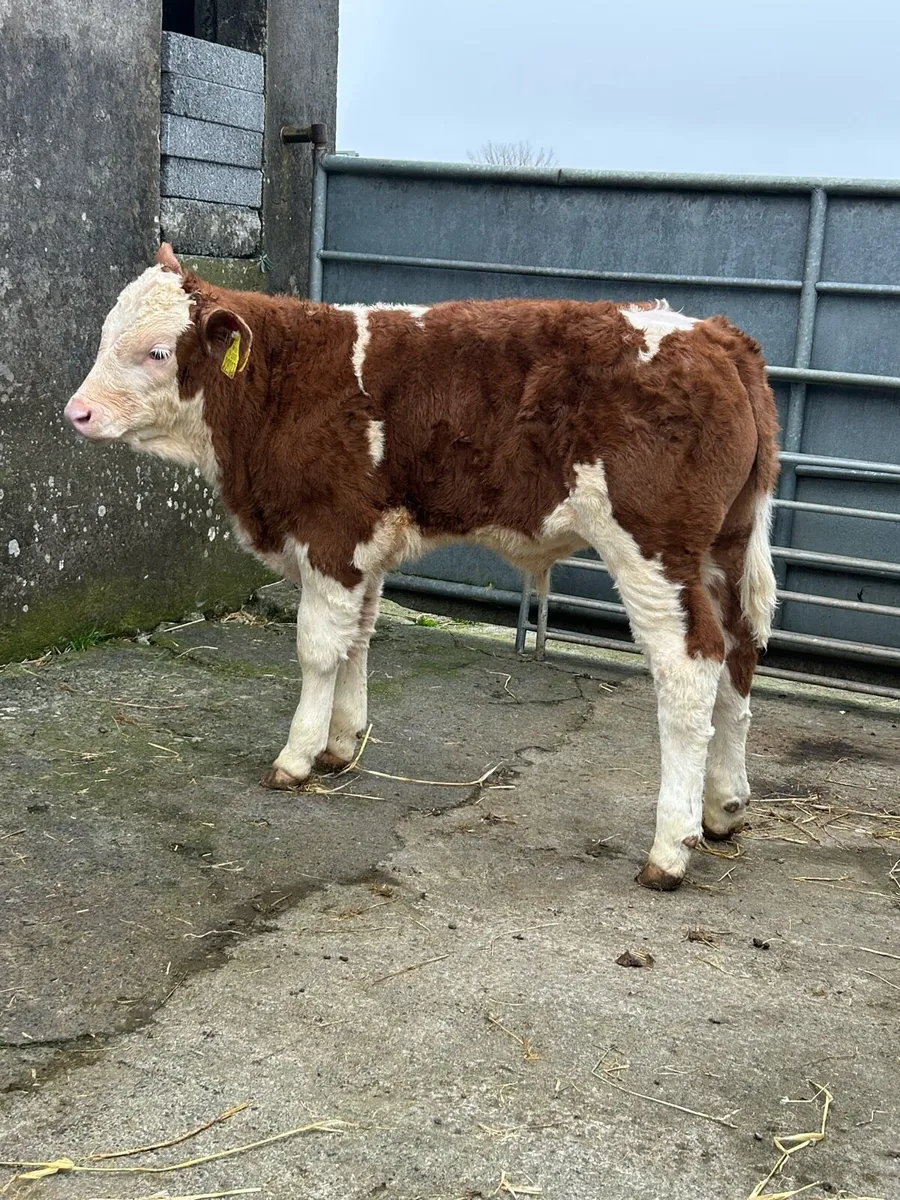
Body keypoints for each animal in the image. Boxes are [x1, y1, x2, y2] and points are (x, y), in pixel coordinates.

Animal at [65, 244, 779, 891]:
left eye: (158, 351)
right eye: (104, 334)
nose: (77, 412)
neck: (281, 383)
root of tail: (712, 333)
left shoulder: (331, 533)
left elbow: (317, 649)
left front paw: (296, 757)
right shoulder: (364, 549)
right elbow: (357, 638)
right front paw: (341, 744)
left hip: (653, 546)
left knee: (692, 665)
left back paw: (670, 849)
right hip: (725, 548)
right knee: (740, 653)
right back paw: (723, 808)